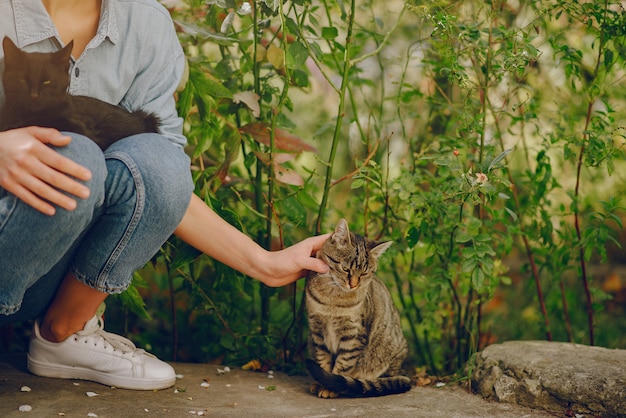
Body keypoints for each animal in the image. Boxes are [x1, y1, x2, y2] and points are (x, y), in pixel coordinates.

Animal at [304, 219, 412, 398]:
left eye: (364, 273)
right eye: (345, 268)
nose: (353, 285)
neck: (333, 300)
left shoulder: (353, 335)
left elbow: (343, 364)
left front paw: (330, 387)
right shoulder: (317, 329)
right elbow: (323, 359)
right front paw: (321, 383)